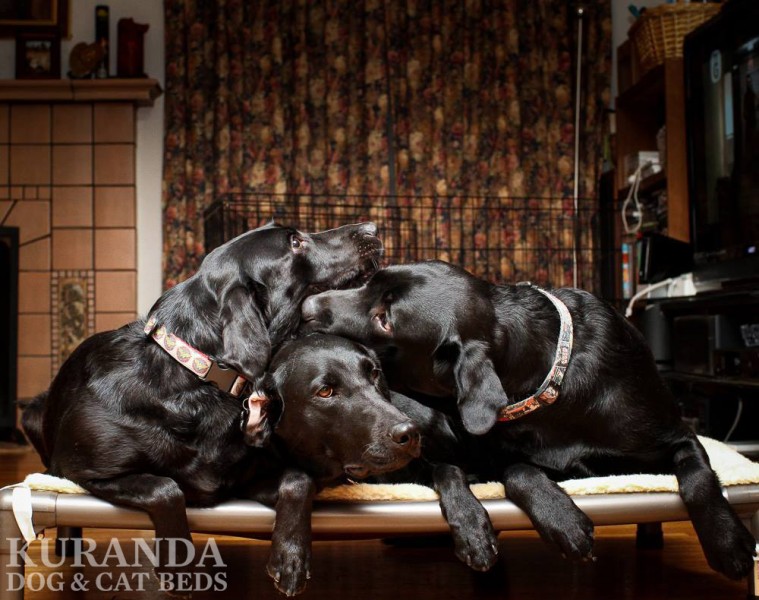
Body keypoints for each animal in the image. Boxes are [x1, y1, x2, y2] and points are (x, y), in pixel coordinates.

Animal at [22, 221, 416, 596]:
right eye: (295, 242)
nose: (372, 228)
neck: (197, 379)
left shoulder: (245, 482)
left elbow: (298, 480)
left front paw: (290, 557)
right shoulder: (82, 471)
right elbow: (164, 487)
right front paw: (177, 565)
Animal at [302, 260, 759, 580]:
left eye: (385, 319)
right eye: (368, 282)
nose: (306, 307)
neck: (552, 383)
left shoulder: (678, 435)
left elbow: (699, 478)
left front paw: (728, 543)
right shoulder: (489, 460)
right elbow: (519, 470)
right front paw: (562, 519)